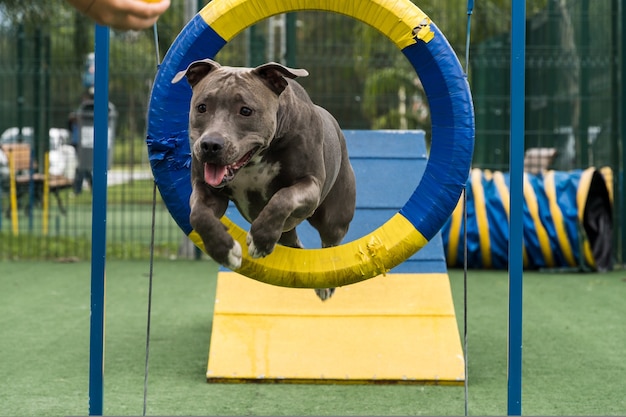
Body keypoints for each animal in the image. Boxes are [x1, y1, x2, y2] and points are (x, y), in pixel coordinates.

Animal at [171, 59, 356, 300]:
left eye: (245, 111)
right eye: (202, 107)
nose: (210, 145)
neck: (254, 159)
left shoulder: (309, 185)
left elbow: (282, 198)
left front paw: (260, 239)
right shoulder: (207, 191)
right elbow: (199, 216)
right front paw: (224, 250)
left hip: (334, 218)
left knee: (330, 243)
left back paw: (325, 284)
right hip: (288, 232)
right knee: (294, 243)